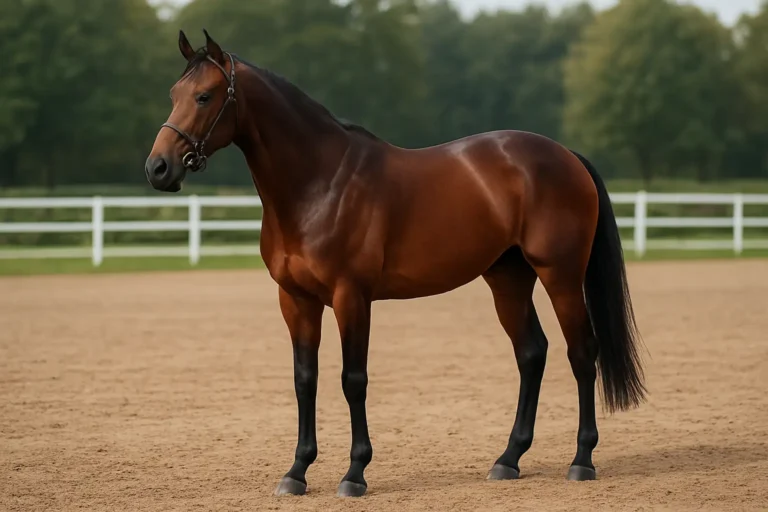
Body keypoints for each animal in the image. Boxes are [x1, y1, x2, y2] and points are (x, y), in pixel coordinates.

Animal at [145, 30, 646, 498]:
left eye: (204, 96)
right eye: (172, 93)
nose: (158, 168)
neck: (319, 183)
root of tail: (566, 156)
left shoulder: (351, 297)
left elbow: (353, 380)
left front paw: (354, 474)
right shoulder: (296, 300)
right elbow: (305, 379)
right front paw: (297, 471)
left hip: (560, 275)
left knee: (582, 353)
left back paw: (581, 461)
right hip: (508, 279)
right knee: (531, 353)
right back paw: (508, 460)